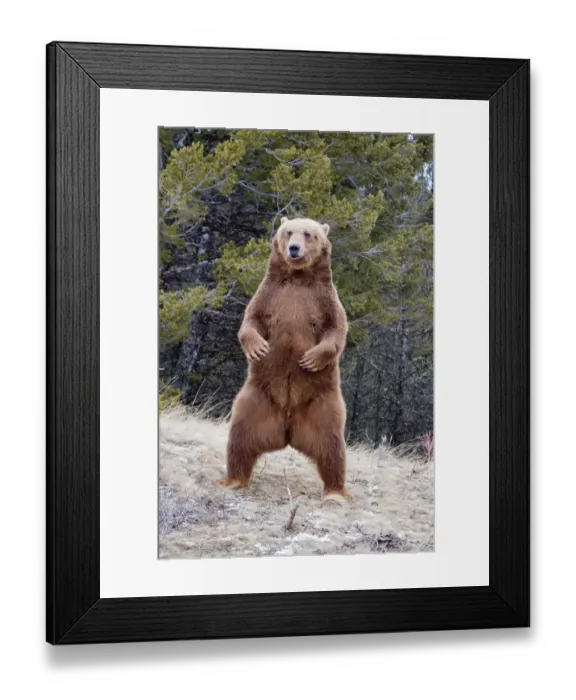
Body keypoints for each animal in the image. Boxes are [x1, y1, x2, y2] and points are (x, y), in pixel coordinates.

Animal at [217, 216, 352, 502]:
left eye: (309, 234)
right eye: (288, 232)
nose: (294, 248)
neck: (298, 278)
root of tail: (288, 432)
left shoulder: (325, 300)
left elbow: (336, 329)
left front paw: (311, 359)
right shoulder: (269, 294)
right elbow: (251, 319)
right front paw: (258, 348)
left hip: (322, 403)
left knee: (332, 447)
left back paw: (335, 492)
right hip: (257, 399)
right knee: (240, 438)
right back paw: (233, 479)